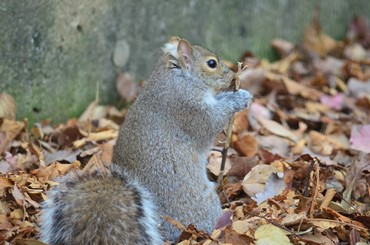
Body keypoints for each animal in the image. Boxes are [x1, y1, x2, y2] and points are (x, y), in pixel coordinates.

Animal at [41, 37, 254, 244]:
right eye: (212, 63)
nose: (232, 76)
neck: (181, 78)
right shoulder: (188, 108)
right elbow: (211, 122)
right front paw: (239, 98)